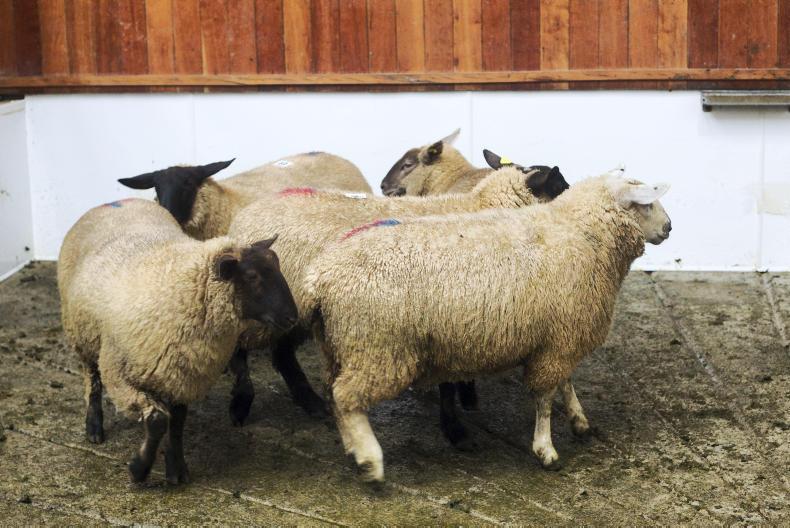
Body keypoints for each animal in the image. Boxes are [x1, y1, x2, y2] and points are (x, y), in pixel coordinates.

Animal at [58, 198, 297, 484]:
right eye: (252, 276)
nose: (293, 317)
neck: (180, 289)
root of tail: (115, 201)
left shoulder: (181, 377)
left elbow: (177, 425)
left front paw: (177, 469)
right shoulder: (119, 374)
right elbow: (158, 421)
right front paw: (139, 468)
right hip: (83, 336)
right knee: (91, 380)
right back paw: (94, 428)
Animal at [224, 166, 570, 439]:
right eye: (561, 188)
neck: (479, 207)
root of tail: (242, 221)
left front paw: (468, 397)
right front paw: (456, 427)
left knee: (282, 355)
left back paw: (310, 402)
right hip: (266, 309)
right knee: (241, 347)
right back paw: (243, 404)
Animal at [303, 169, 671, 481]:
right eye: (646, 203)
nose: (669, 227)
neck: (581, 233)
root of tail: (320, 278)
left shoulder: (561, 335)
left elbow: (565, 383)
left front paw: (579, 420)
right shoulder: (559, 339)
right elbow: (545, 398)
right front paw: (546, 450)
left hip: (339, 345)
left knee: (334, 394)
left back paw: (353, 448)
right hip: (378, 349)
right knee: (347, 399)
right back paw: (370, 460)